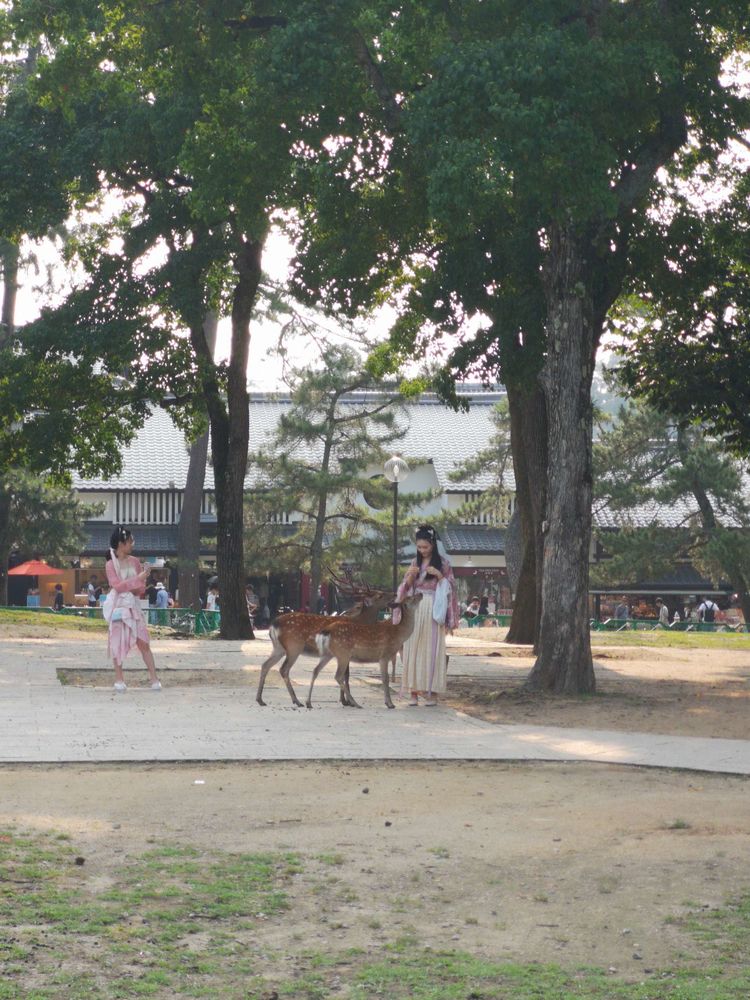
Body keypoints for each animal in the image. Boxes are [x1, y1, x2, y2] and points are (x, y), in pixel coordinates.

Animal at [256, 576, 394, 708]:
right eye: (380, 595)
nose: (393, 595)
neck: (361, 622)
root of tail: (273, 624)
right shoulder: (345, 651)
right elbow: (346, 675)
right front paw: (346, 701)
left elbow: (345, 675)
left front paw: (345, 700)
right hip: (294, 646)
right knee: (283, 669)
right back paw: (297, 701)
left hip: (278, 648)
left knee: (265, 665)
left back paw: (261, 700)